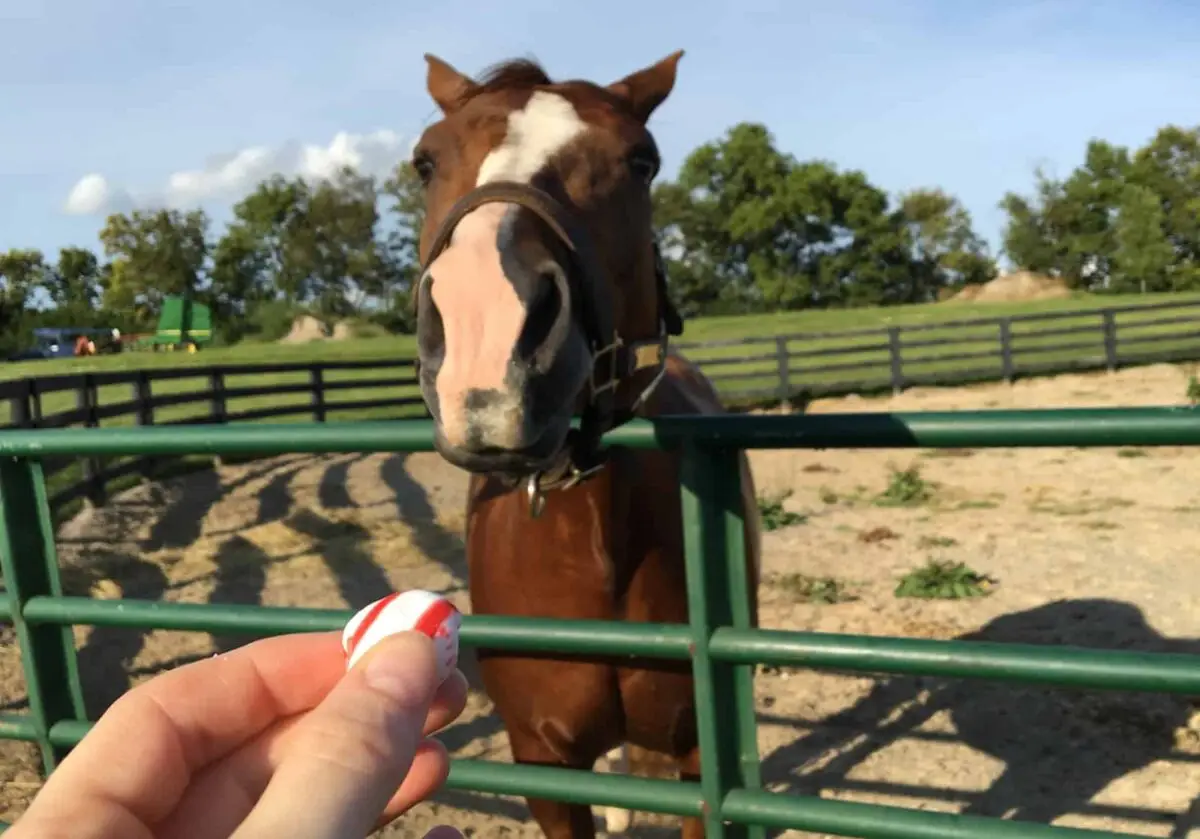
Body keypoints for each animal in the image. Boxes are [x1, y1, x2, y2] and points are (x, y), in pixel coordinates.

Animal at [408, 50, 762, 838]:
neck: (591, 544)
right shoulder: (543, 762)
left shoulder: (702, 760)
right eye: (424, 162)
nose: (486, 337)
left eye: (641, 161)